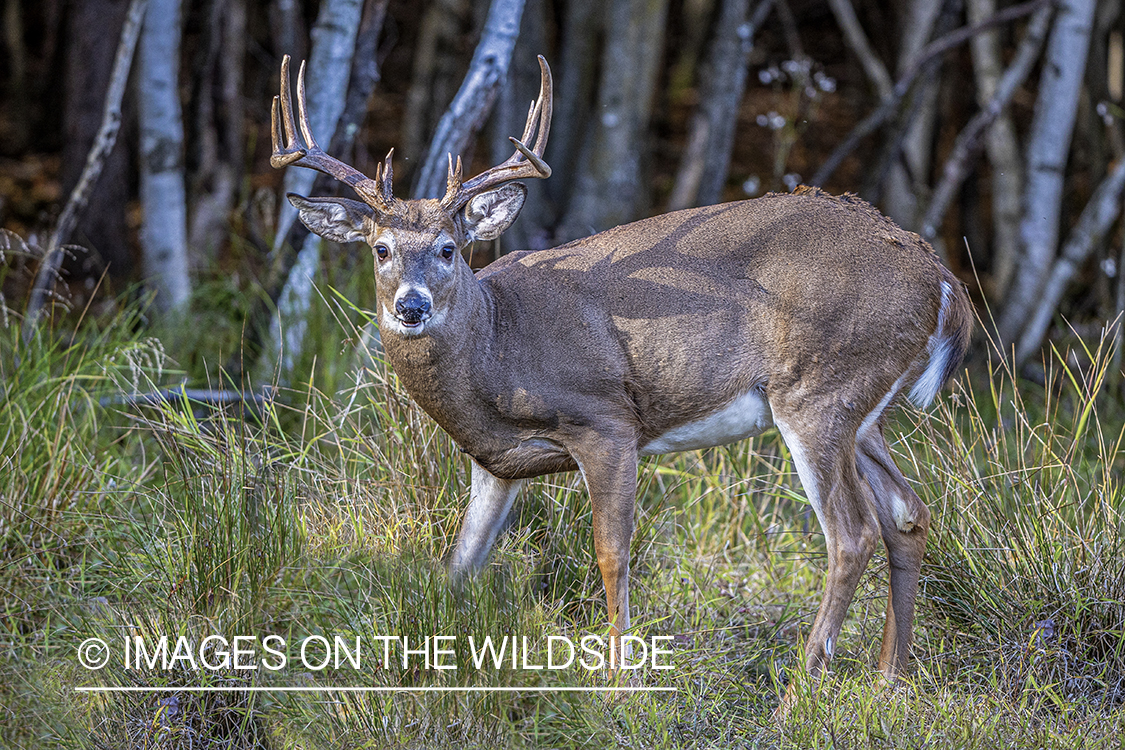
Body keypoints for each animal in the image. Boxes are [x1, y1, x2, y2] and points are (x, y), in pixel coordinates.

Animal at [267, 52, 972, 710]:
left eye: (447, 247)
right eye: (380, 248)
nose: (410, 307)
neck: (496, 350)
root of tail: (939, 276)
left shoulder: (605, 422)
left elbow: (611, 552)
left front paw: (620, 682)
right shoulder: (496, 463)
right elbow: (460, 566)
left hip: (817, 392)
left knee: (851, 534)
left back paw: (799, 688)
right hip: (861, 408)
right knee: (907, 514)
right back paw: (888, 681)